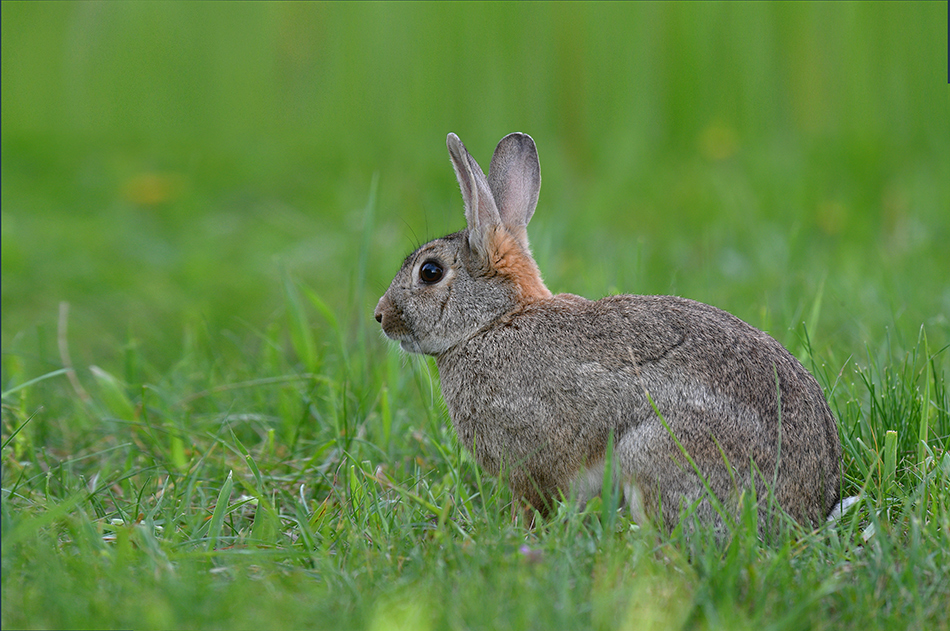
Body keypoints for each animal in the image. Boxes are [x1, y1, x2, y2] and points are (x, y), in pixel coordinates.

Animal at [376, 133, 844, 532]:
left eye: (430, 272)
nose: (380, 316)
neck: (493, 322)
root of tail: (803, 512)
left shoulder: (532, 461)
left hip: (653, 452)